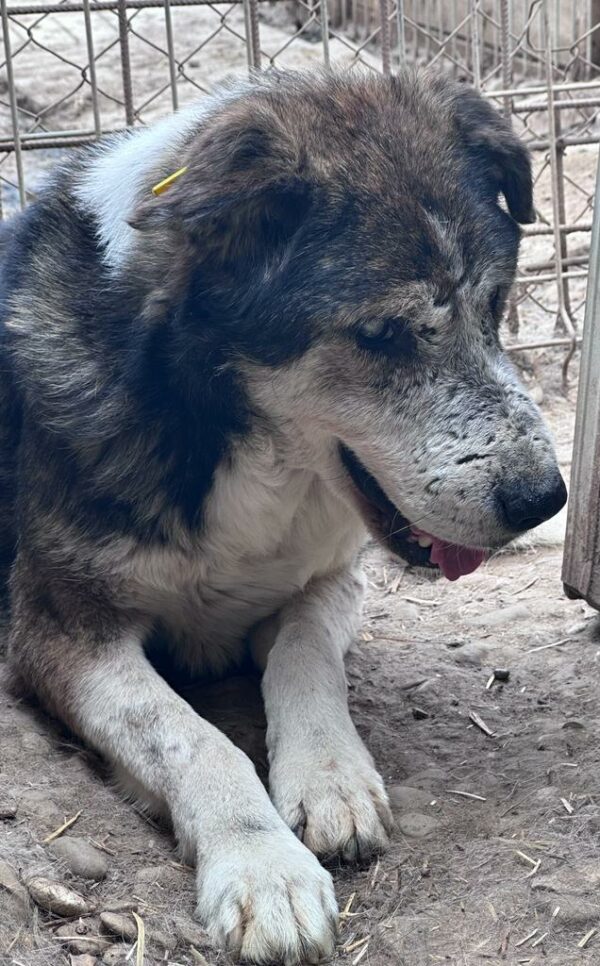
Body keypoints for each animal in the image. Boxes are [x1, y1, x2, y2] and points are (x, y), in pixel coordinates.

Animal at [0, 72, 568, 964]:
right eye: (380, 334)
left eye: (498, 303)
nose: (544, 496)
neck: (239, 449)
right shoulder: (59, 630)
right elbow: (188, 734)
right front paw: (263, 867)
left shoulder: (330, 579)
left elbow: (304, 658)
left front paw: (331, 780)